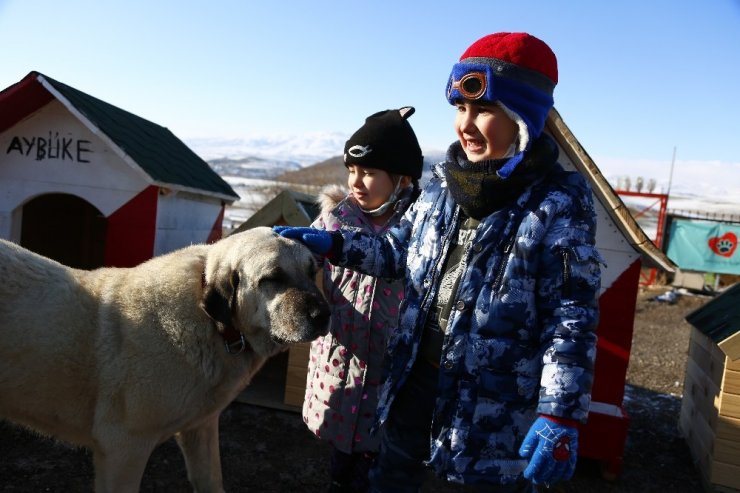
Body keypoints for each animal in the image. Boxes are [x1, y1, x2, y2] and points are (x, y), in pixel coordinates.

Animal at [0, 228, 330, 492]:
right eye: (273, 278)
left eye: (311, 271)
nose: (324, 315)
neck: (212, 323)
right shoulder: (123, 448)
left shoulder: (201, 430)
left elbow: (211, 481)